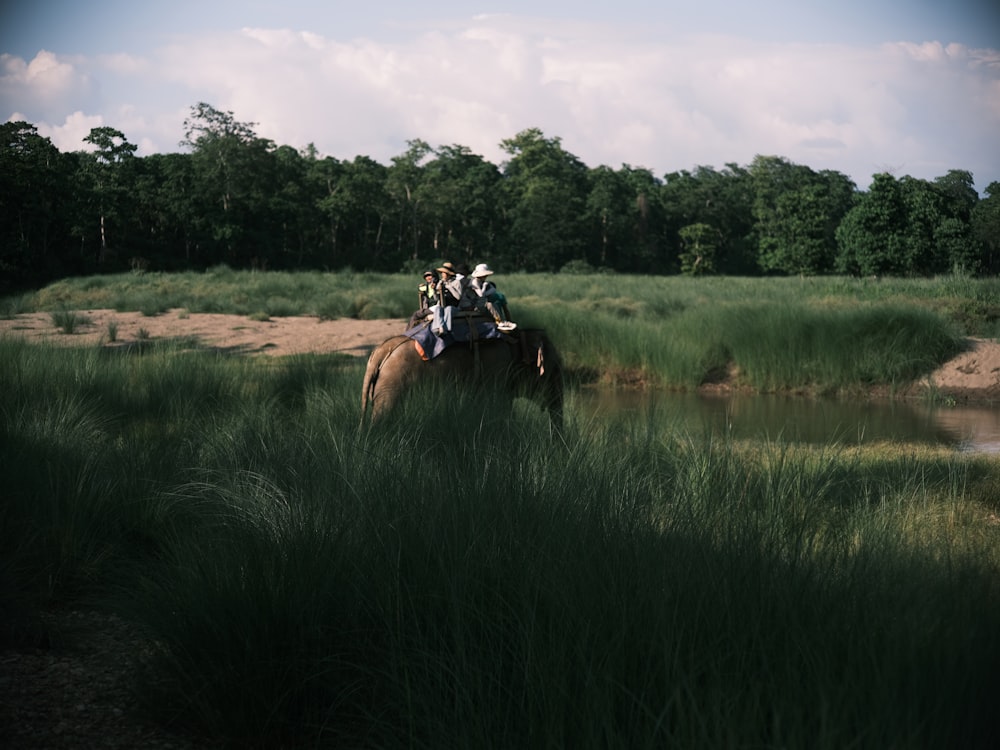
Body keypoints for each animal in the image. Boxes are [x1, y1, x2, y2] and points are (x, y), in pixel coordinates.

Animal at [360, 330, 564, 432]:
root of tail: (380, 350)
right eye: (555, 370)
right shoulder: (497, 369)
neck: (518, 337)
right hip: (393, 383)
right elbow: (500, 409)